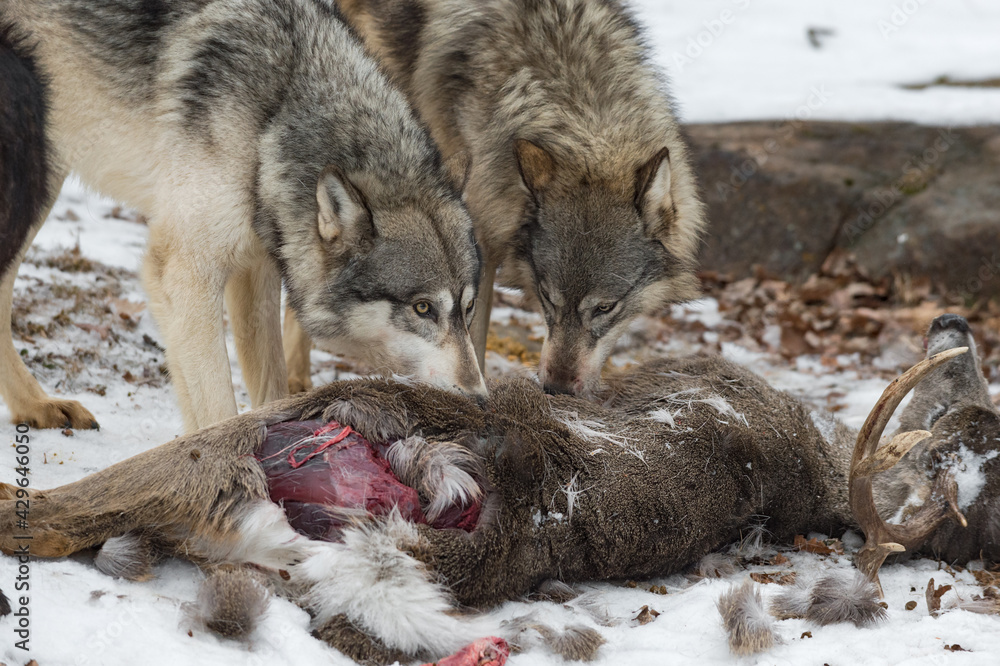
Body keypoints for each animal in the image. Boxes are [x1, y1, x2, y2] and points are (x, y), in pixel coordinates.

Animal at [0, 0, 486, 432]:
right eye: (422, 308)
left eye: (468, 309)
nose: (480, 401)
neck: (276, 115)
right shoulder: (184, 272)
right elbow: (218, 406)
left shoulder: (255, 273)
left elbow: (268, 391)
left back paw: (35, 407)